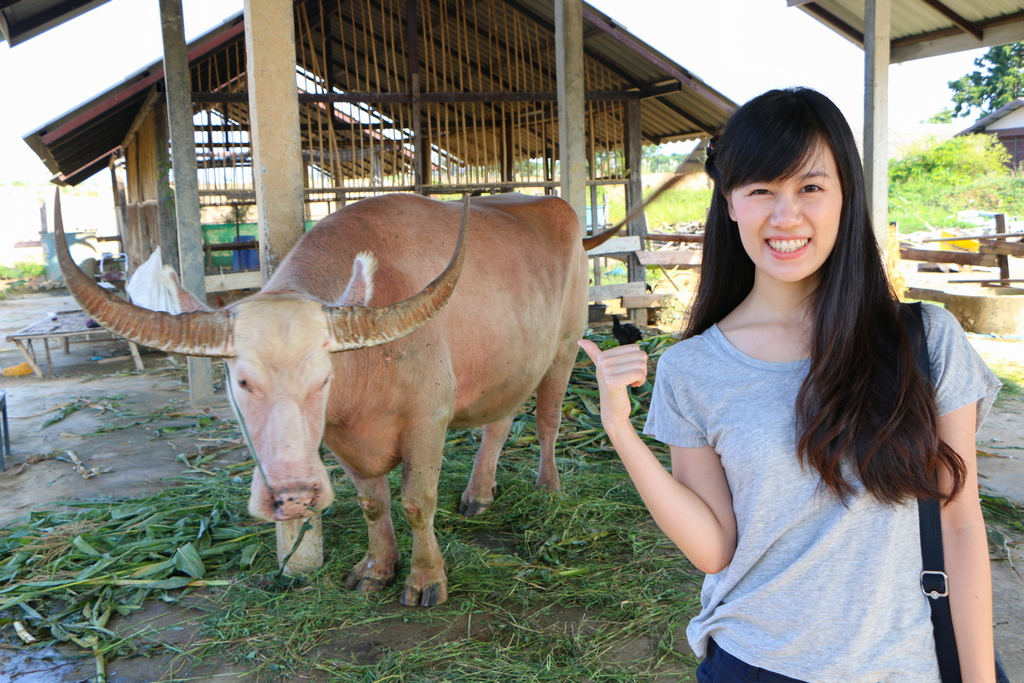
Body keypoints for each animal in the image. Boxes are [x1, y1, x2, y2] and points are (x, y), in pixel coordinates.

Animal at [58, 189, 614, 606]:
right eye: (241, 382)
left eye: (323, 378)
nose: (293, 496)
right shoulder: (342, 442)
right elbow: (373, 504)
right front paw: (377, 569)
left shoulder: (427, 421)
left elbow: (417, 503)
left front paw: (425, 579)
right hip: (509, 364)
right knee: (498, 422)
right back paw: (479, 493)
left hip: (565, 348)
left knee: (546, 422)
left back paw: (548, 487)